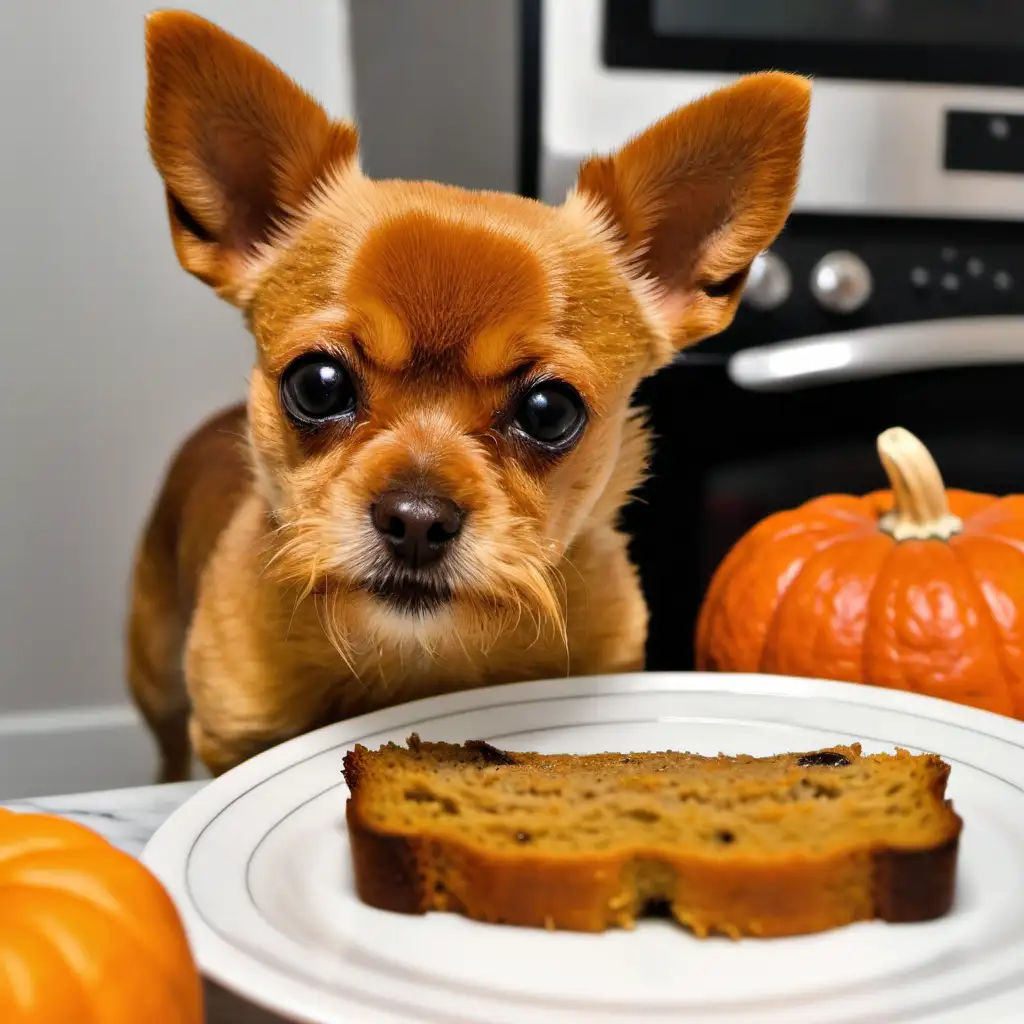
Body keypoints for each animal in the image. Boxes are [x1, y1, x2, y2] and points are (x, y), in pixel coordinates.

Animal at [128, 9, 811, 782]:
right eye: (316, 384)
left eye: (550, 411)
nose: (417, 519)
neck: (416, 663)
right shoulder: (231, 742)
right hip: (154, 671)